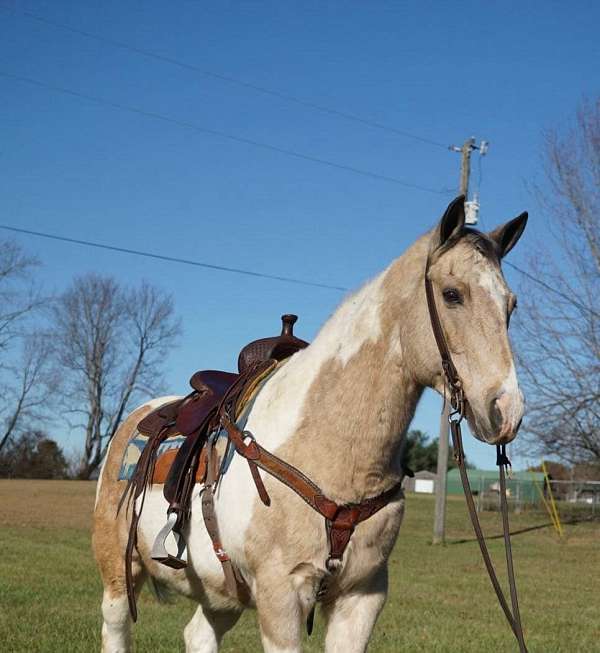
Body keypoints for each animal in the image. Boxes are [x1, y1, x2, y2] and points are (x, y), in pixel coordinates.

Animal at [92, 196, 524, 648]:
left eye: (511, 305)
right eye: (452, 294)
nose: (505, 410)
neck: (327, 445)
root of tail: (137, 418)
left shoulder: (362, 596)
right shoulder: (281, 596)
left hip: (221, 594)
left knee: (198, 635)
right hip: (117, 570)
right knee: (115, 628)